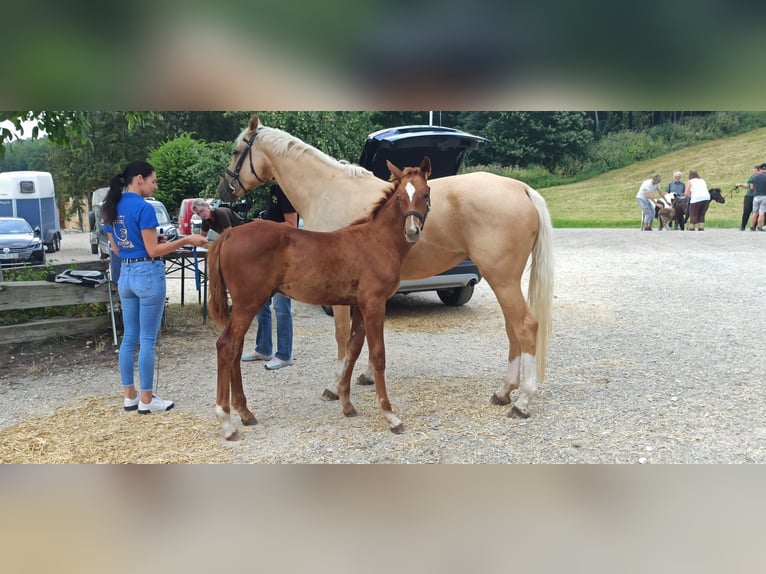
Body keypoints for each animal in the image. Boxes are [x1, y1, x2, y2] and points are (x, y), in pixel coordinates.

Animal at [207, 158, 436, 440]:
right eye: (402, 196)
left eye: (425, 194)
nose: (412, 231)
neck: (377, 241)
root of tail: (230, 233)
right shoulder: (374, 304)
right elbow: (377, 355)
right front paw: (390, 415)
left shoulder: (359, 305)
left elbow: (352, 348)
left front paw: (347, 404)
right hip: (247, 304)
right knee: (226, 346)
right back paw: (227, 421)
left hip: (247, 305)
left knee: (235, 348)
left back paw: (245, 413)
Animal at [219, 115, 556, 420]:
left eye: (236, 151)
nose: (224, 192)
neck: (328, 189)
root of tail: (521, 188)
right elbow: (363, 339)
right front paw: (364, 377)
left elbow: (343, 338)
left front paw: (335, 387)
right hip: (502, 279)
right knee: (513, 329)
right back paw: (504, 391)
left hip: (503, 279)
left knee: (526, 326)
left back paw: (522, 401)